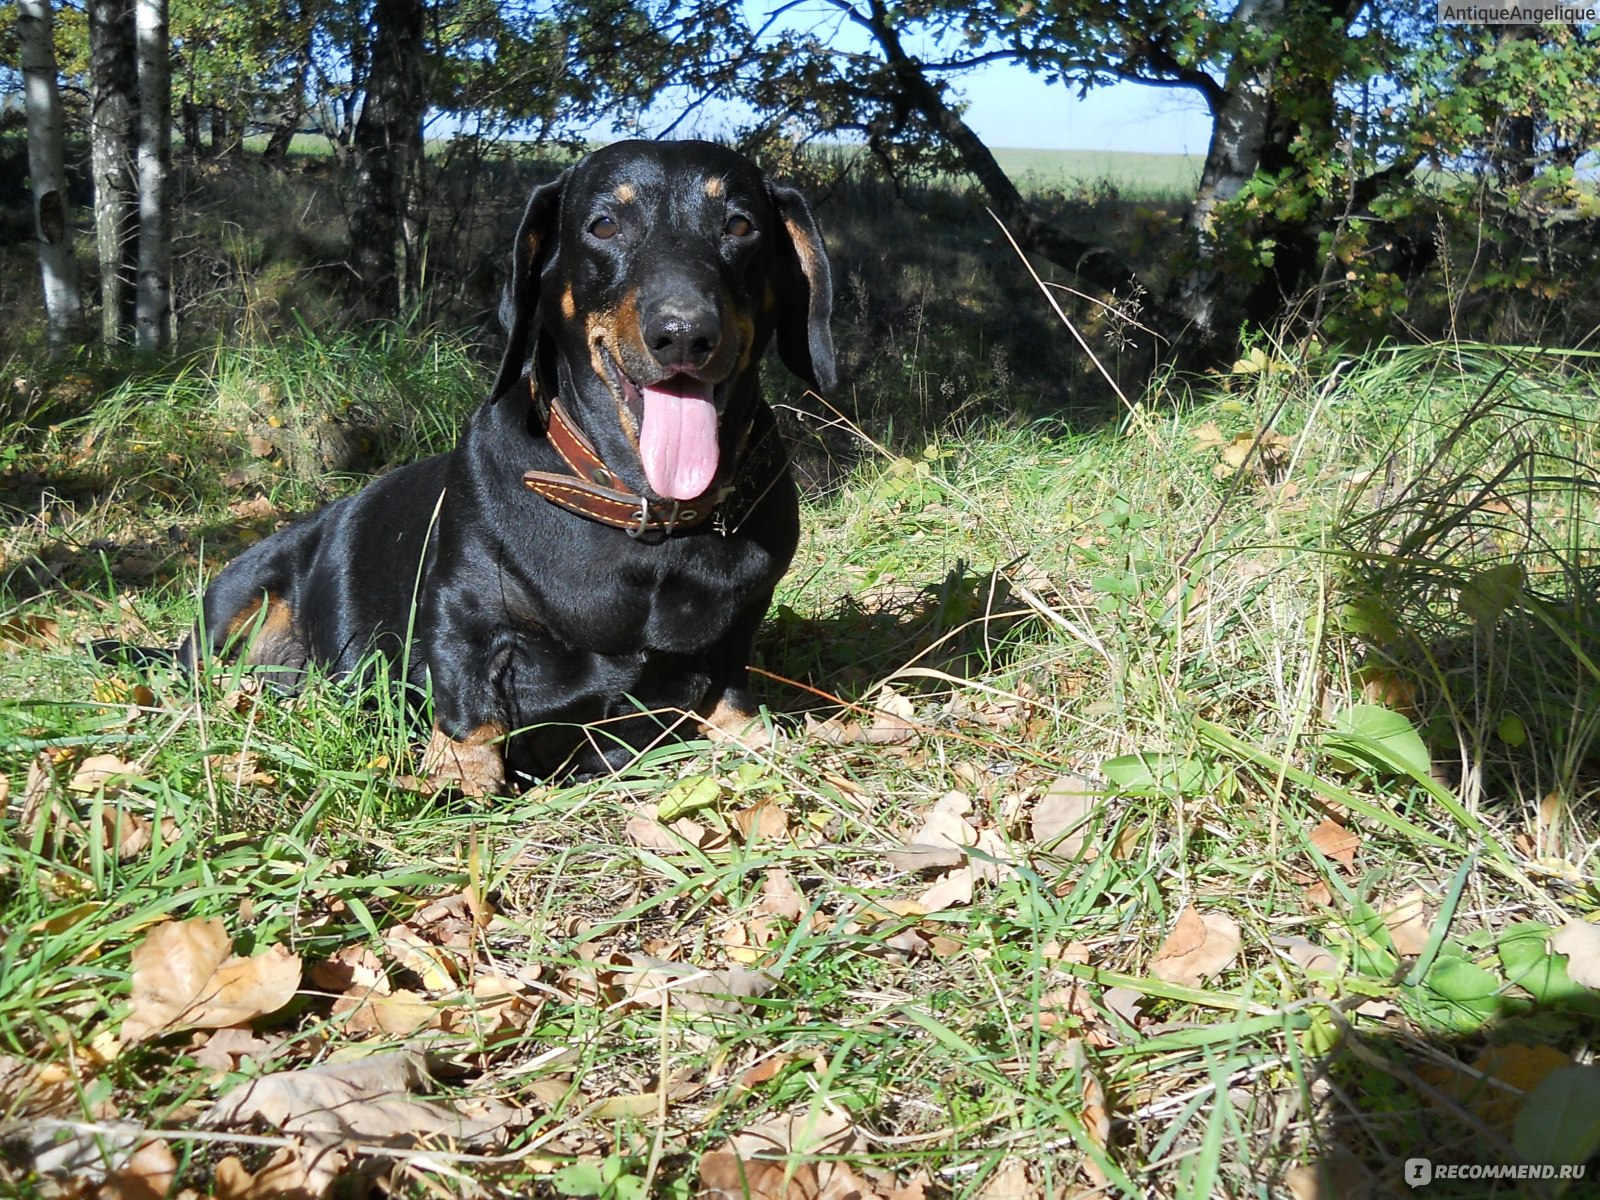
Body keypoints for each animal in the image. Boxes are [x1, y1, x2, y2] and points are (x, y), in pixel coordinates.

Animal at [148, 140, 832, 793]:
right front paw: (459, 777)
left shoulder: (742, 620)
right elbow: (471, 704)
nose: (684, 333)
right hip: (235, 604)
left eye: (740, 225)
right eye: (604, 224)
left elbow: (731, 692)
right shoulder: (465, 613)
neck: (643, 517)